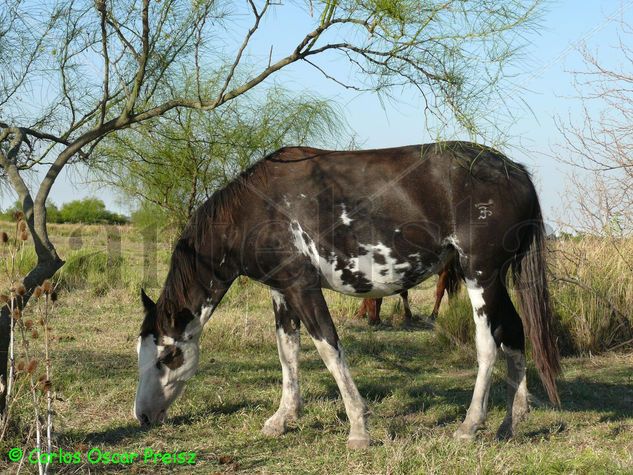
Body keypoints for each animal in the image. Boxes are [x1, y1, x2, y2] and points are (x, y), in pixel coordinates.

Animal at [133, 142, 556, 450]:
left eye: (167, 357)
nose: (142, 417)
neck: (256, 209)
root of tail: (515, 171)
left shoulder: (303, 288)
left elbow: (329, 349)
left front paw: (358, 428)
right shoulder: (282, 292)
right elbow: (288, 352)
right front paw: (282, 419)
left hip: (479, 275)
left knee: (488, 345)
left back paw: (470, 425)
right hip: (496, 279)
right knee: (515, 335)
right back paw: (511, 423)